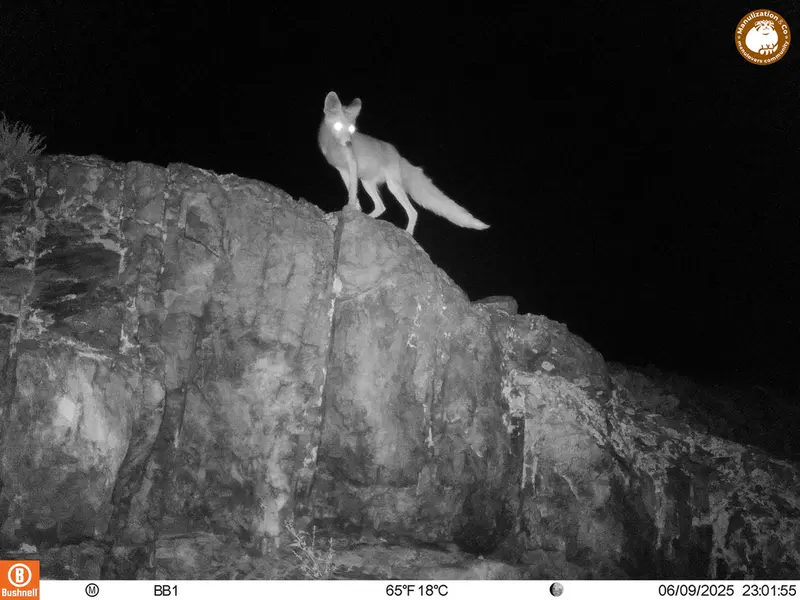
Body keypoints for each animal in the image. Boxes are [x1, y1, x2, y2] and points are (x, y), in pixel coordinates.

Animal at [318, 91, 489, 235]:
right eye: (339, 126)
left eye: (352, 129)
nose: (348, 143)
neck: (333, 146)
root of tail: (398, 155)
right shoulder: (343, 170)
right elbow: (352, 192)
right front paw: (355, 209)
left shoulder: (352, 166)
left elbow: (352, 193)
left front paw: (350, 210)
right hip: (368, 182)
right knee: (381, 206)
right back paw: (369, 218)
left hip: (393, 186)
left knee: (413, 212)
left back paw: (408, 233)